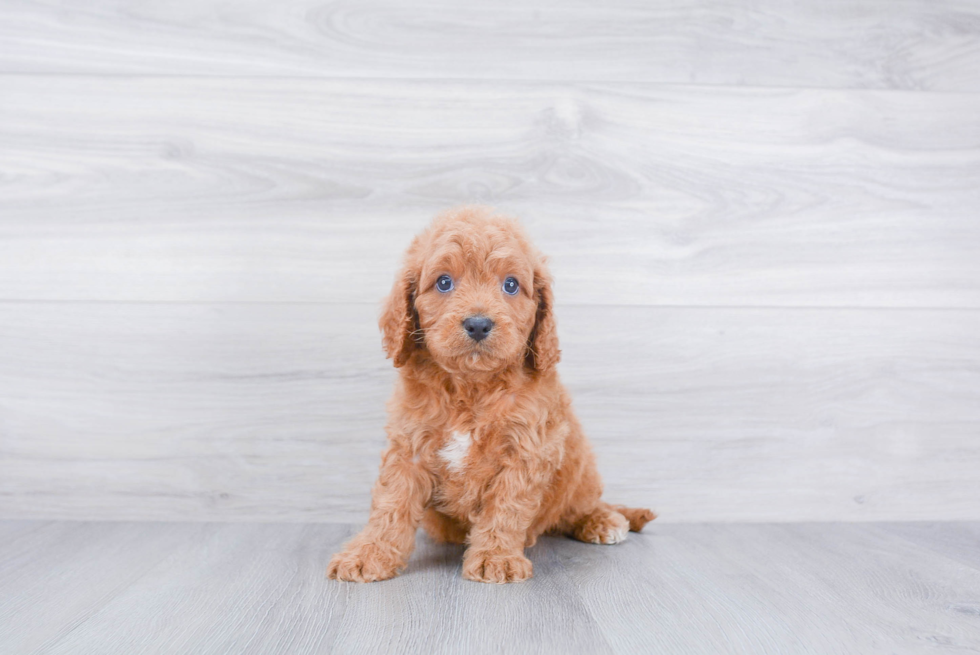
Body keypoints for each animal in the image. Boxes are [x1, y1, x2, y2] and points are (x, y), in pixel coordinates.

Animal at [326, 206, 656, 584]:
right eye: (443, 282)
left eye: (510, 285)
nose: (479, 324)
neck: (471, 387)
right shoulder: (408, 447)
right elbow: (391, 503)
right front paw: (368, 554)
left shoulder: (527, 450)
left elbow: (506, 507)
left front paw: (496, 558)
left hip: (581, 469)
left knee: (579, 505)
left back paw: (603, 520)